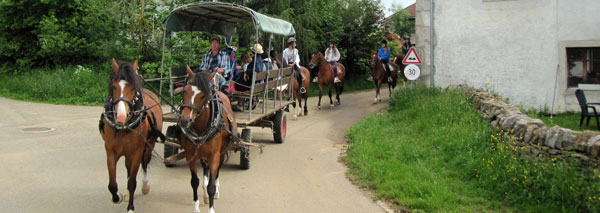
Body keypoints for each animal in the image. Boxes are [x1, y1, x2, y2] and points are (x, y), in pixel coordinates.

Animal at [99, 59, 164, 212]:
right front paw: (117, 197)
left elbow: (133, 182)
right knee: (128, 169)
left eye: (133, 88)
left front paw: (130, 207)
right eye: (113, 87)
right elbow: (112, 183)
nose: (121, 117)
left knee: (145, 163)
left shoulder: (137, 152)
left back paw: (145, 186)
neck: (124, 127)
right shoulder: (110, 152)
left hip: (149, 145)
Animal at [177, 67, 238, 213]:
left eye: (203, 95)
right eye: (185, 90)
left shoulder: (215, 155)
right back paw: (204, 194)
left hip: (222, 152)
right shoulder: (190, 155)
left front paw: (211, 207)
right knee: (205, 169)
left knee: (216, 172)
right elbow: (194, 181)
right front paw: (196, 207)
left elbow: (212, 184)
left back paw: (215, 192)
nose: (185, 120)